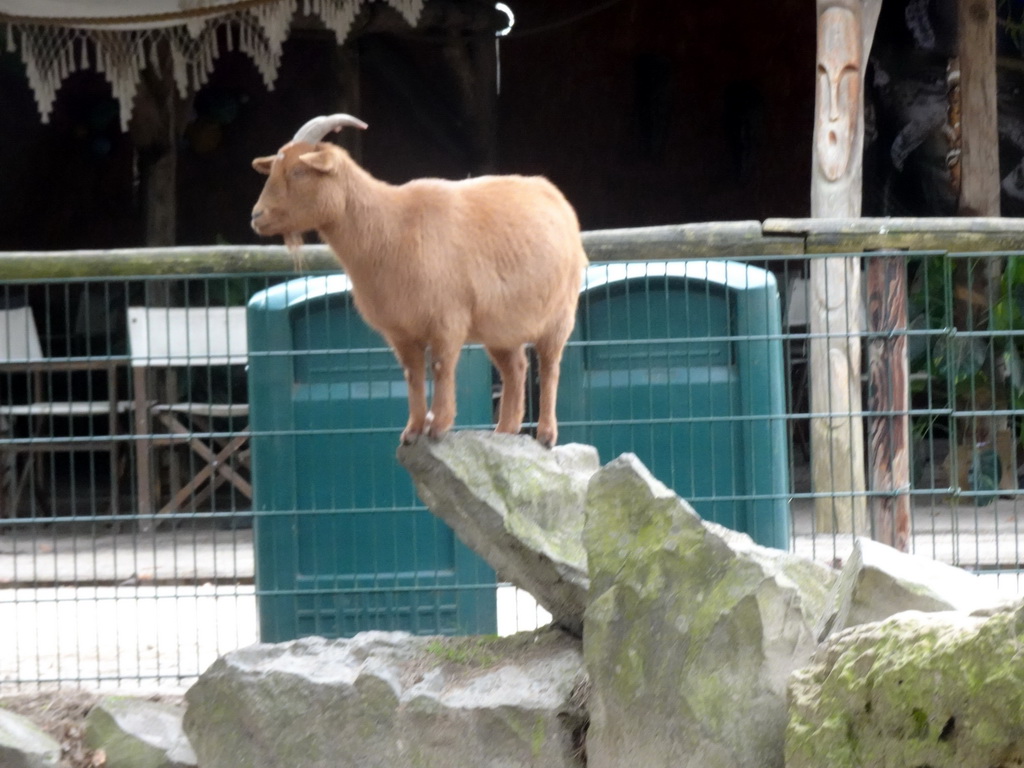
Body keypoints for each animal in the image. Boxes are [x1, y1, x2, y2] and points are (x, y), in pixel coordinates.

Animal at [249, 116, 585, 448]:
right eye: (274, 169)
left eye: (298, 171)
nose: (256, 216)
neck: (390, 227)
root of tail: (554, 196)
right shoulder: (401, 331)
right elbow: (413, 373)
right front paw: (412, 430)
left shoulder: (448, 319)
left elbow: (440, 367)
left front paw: (438, 426)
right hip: (501, 327)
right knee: (515, 368)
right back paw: (504, 431)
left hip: (560, 313)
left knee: (549, 365)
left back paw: (546, 434)